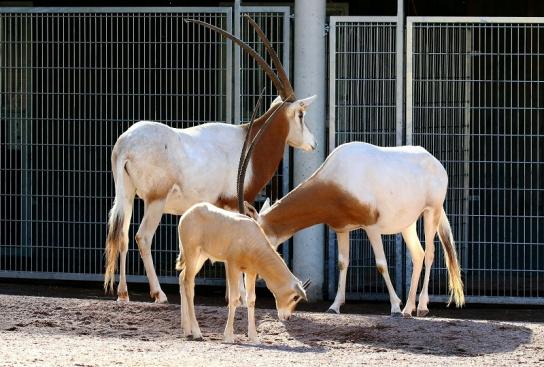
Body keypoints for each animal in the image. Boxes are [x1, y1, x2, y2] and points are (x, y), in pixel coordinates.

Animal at [104, 15, 316, 304]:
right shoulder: (232, 201)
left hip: (126, 193)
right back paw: (159, 294)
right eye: (301, 116)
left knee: (123, 235)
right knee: (142, 236)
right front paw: (238, 296)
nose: (313, 143)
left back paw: (124, 293)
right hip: (155, 200)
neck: (249, 139)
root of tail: (126, 143)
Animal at [245, 142, 464, 318]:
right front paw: (334, 306)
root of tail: (434, 161)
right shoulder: (342, 229)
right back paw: (408, 309)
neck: (337, 176)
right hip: (407, 223)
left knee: (430, 254)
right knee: (418, 254)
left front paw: (394, 306)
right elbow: (342, 263)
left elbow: (381, 264)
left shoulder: (371, 227)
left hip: (431, 211)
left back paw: (421, 307)